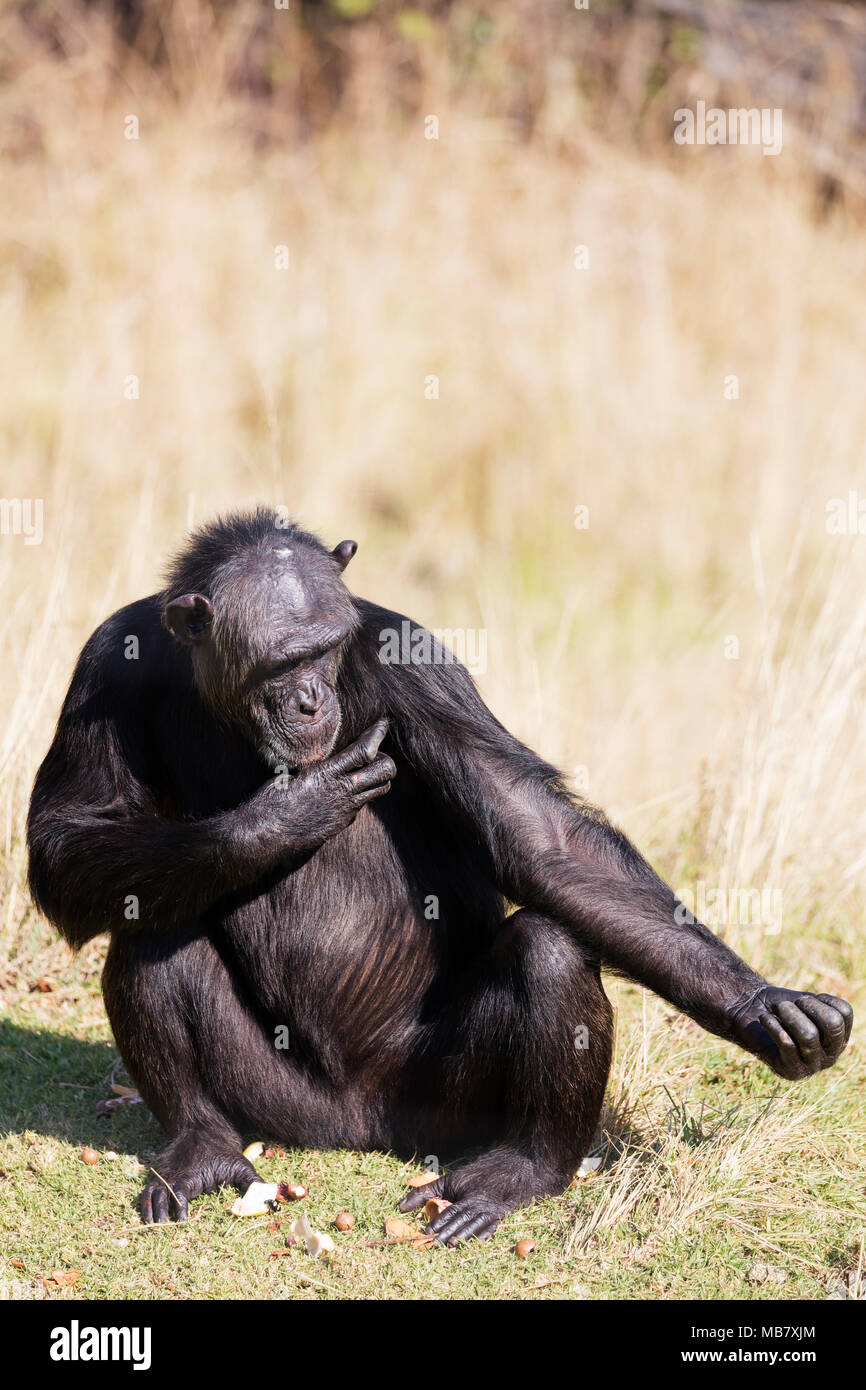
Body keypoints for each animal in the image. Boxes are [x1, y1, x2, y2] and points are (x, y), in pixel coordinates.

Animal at [27, 508, 856, 1239]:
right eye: (283, 661)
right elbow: (67, 836)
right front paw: (285, 816)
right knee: (151, 923)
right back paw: (200, 1148)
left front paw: (762, 1004)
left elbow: (541, 838)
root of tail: (352, 1127)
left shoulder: (415, 664)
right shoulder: (107, 663)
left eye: (327, 649)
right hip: (269, 1100)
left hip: (436, 1105)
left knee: (548, 948)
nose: (311, 699)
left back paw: (521, 1172)